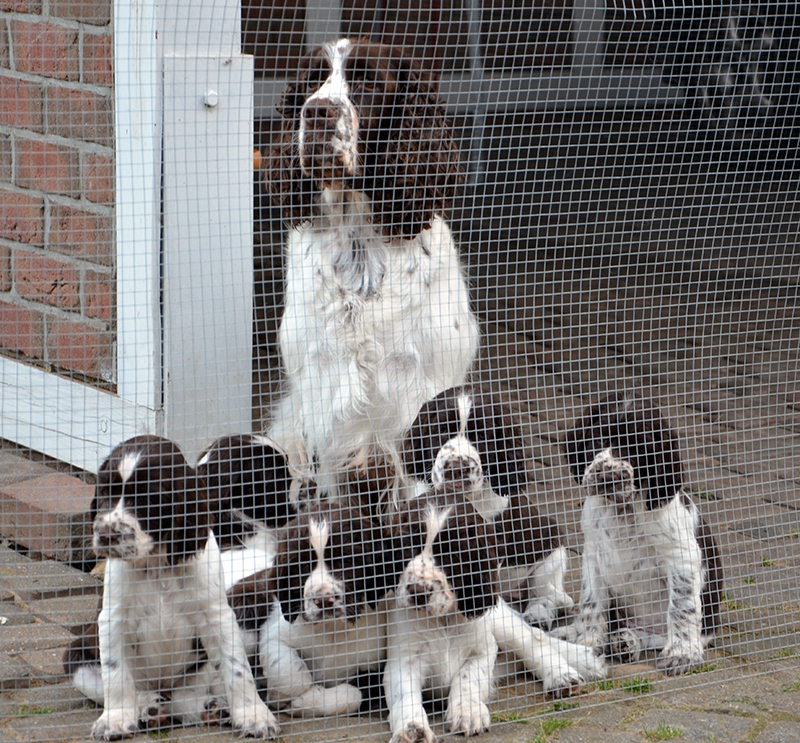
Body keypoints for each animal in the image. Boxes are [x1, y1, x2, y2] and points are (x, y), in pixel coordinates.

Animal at [61, 436, 278, 740]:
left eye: (146, 500)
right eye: (104, 493)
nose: (104, 535)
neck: (158, 566)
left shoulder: (218, 617)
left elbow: (237, 669)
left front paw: (255, 716)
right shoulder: (112, 619)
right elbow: (117, 676)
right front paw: (114, 721)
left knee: (184, 697)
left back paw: (209, 708)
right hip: (77, 656)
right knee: (135, 689)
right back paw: (148, 707)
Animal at [228, 502, 396, 716]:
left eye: (346, 561)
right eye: (302, 566)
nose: (324, 600)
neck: (333, 630)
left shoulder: (377, 664)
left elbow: (353, 694)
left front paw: (306, 701)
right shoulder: (274, 634)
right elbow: (292, 672)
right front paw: (280, 696)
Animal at [404, 386, 572, 632]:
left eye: (482, 436)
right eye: (442, 429)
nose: (456, 468)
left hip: (553, 553)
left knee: (546, 594)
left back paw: (538, 614)